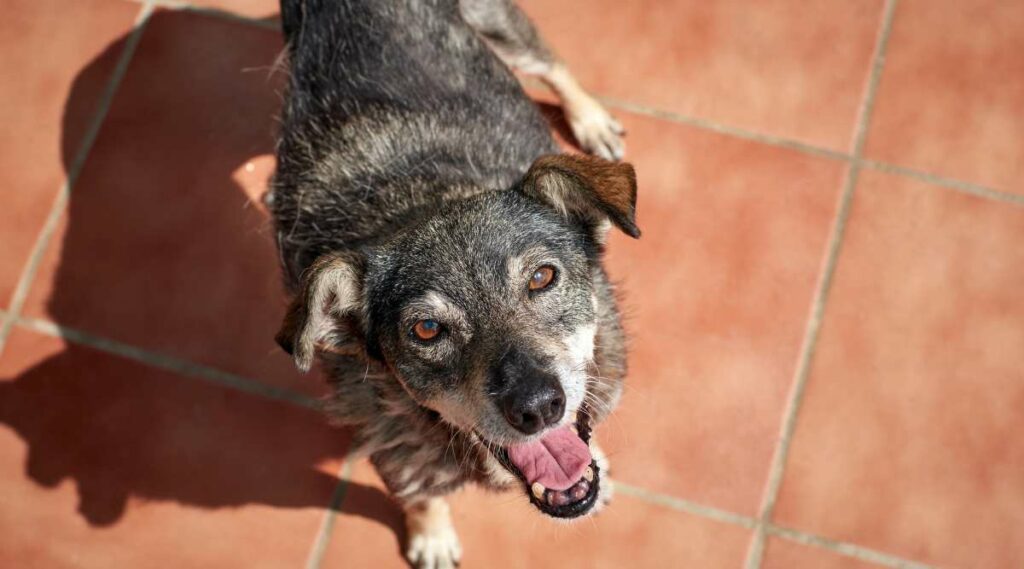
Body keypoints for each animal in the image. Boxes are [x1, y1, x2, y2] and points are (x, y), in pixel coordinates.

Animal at [270, 2, 638, 564]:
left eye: (543, 277)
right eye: (426, 330)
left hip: (499, 26)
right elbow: (421, 494)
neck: (428, 197)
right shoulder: (395, 447)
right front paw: (432, 536)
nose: (538, 407)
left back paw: (590, 120)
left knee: (551, 63)